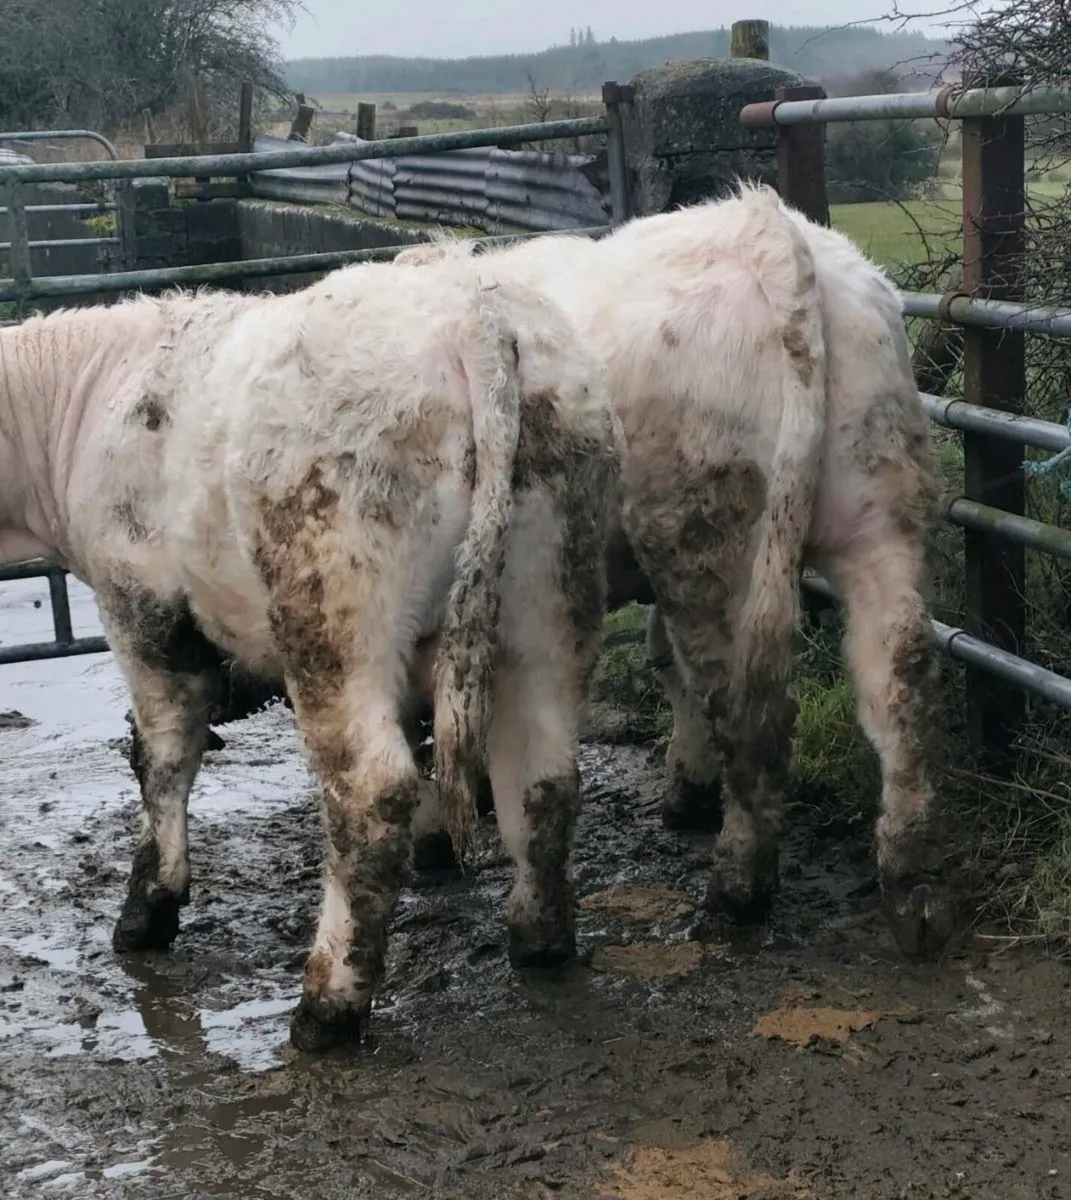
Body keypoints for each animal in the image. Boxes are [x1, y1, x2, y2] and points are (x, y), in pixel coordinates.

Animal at [0, 257, 617, 1051]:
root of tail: (473, 317)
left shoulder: (140, 607)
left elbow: (161, 756)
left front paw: (148, 908)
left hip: (332, 603)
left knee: (371, 794)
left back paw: (325, 1008)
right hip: (551, 590)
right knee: (542, 778)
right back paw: (538, 938)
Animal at [392, 182, 951, 962]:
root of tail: (767, 229)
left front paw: (434, 839)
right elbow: (663, 661)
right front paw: (687, 787)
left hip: (704, 540)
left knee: (750, 708)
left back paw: (737, 889)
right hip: (878, 513)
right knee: (897, 676)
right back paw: (909, 884)